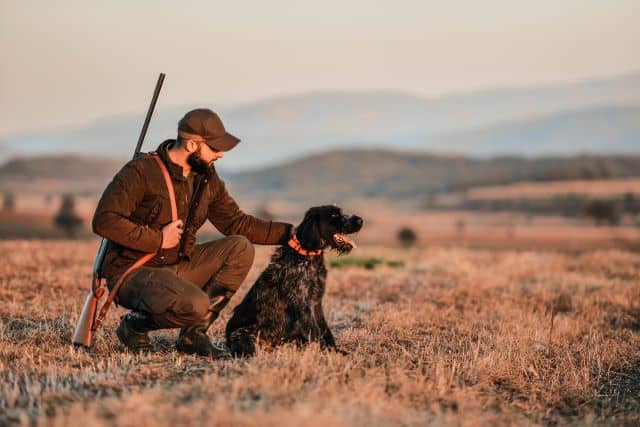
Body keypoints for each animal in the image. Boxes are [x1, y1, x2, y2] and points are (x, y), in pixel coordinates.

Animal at [226, 206, 362, 356]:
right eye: (334, 214)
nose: (360, 220)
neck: (307, 255)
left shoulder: (316, 302)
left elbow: (325, 330)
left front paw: (334, 350)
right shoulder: (302, 303)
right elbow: (315, 332)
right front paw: (324, 352)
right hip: (242, 334)